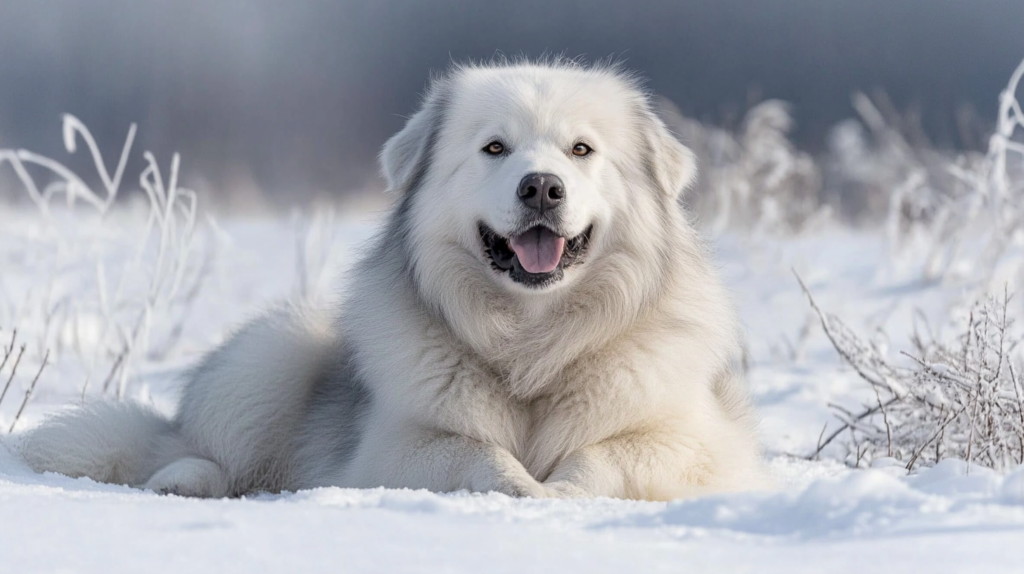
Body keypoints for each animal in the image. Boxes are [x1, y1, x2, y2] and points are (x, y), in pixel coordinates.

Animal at [22, 61, 770, 497]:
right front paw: (523, 488)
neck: (533, 348)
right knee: (192, 452)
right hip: (275, 350)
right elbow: (476, 454)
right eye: (494, 147)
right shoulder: (396, 448)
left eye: (582, 150)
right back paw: (185, 480)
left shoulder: (692, 442)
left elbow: (601, 456)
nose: (541, 187)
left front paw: (557, 491)